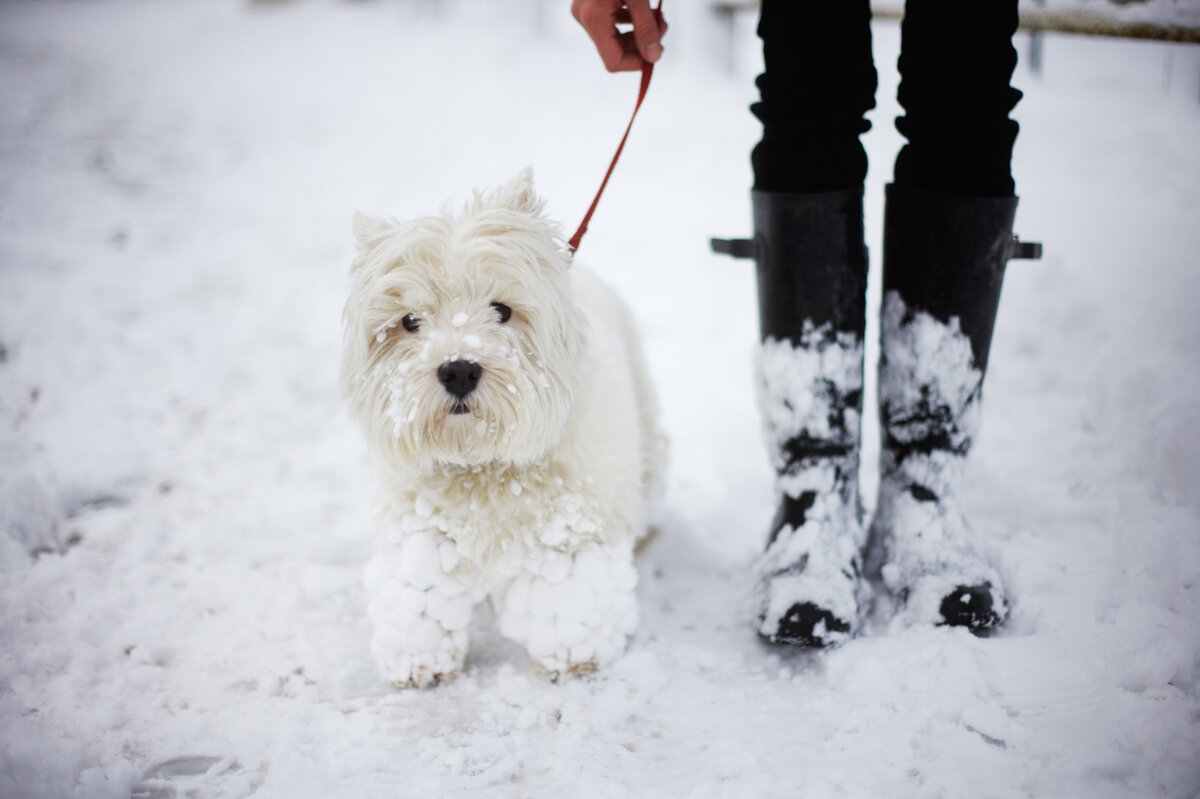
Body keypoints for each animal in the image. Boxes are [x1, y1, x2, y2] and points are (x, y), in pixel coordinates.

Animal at [340, 169, 667, 686]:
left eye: (501, 309)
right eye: (410, 320)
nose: (458, 370)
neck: (481, 464)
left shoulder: (568, 527)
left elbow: (568, 598)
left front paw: (573, 655)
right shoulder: (419, 526)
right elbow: (419, 594)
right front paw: (417, 660)